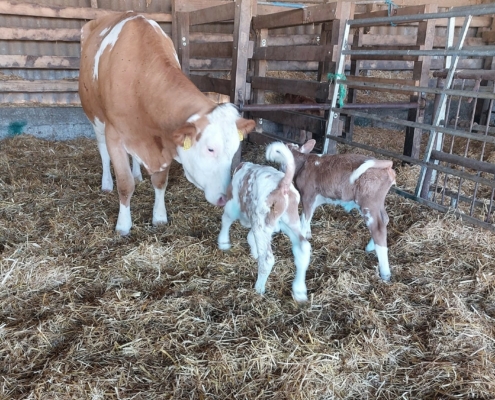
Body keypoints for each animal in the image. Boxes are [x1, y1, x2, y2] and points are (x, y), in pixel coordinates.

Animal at [78, 12, 256, 234]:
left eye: (234, 151)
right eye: (210, 149)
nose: (226, 198)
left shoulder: (163, 139)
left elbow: (160, 182)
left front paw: (159, 217)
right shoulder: (115, 135)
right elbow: (125, 184)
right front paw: (123, 225)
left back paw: (137, 174)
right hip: (95, 119)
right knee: (102, 151)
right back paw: (107, 183)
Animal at [219, 142, 312, 302]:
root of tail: (283, 185)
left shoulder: (233, 204)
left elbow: (226, 220)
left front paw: (223, 242)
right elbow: (250, 237)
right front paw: (255, 252)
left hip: (261, 222)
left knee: (268, 258)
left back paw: (259, 288)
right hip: (290, 222)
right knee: (303, 248)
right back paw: (299, 291)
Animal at [286, 141, 396, 282]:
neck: (304, 163)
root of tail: (385, 163)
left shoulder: (308, 195)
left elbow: (305, 218)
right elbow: (306, 218)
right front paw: (308, 234)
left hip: (369, 204)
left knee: (378, 228)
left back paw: (385, 273)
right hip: (378, 203)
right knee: (385, 219)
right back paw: (370, 247)